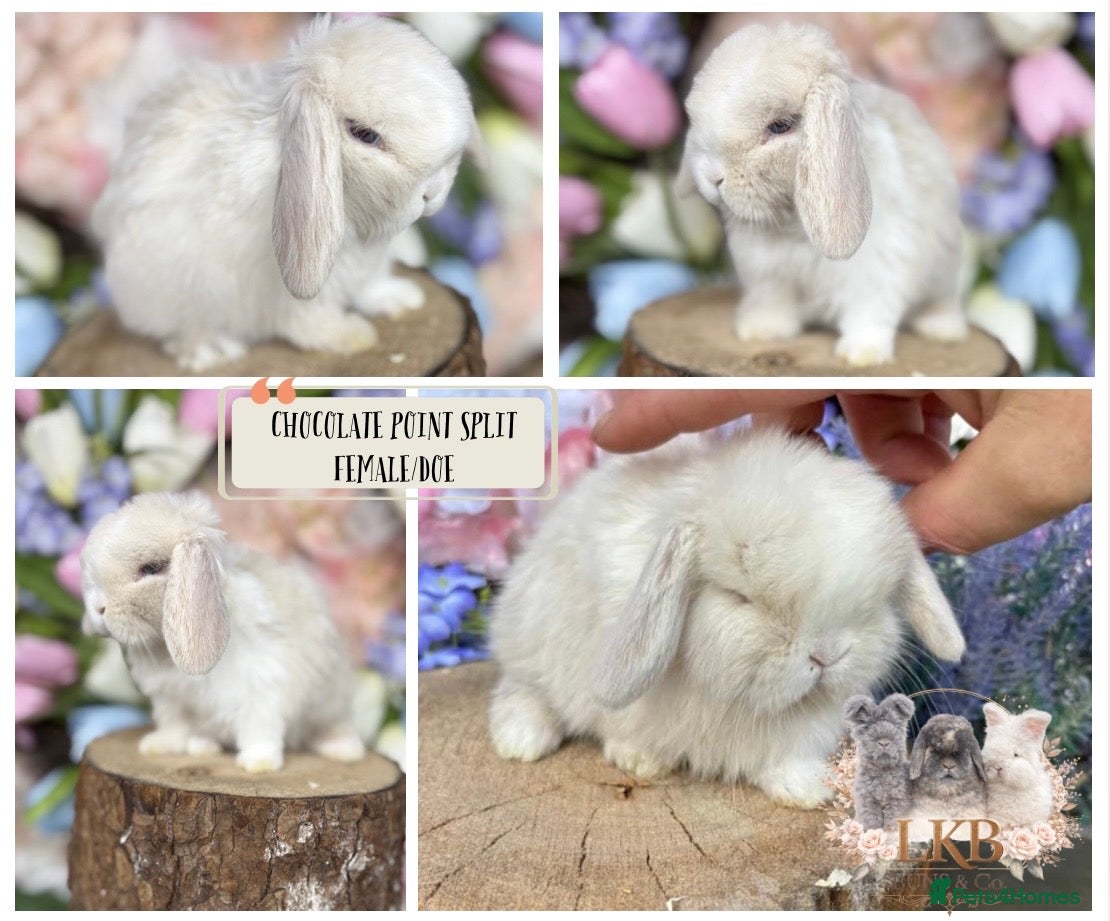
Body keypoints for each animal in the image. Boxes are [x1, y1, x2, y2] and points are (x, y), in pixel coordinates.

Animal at [79, 491, 365, 773]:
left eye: (150, 568)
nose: (98, 608)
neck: (164, 648)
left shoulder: (261, 687)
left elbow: (260, 727)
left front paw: (259, 763)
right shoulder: (172, 699)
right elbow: (174, 725)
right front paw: (159, 745)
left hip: (331, 702)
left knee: (336, 725)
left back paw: (345, 750)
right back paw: (202, 745)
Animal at [91, 15, 480, 371]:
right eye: (364, 135)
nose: (433, 194)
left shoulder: (367, 265)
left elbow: (370, 286)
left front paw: (400, 299)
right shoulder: (293, 291)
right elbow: (308, 320)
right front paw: (352, 336)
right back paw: (211, 351)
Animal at [488, 427, 965, 808]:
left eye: (876, 599)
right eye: (738, 596)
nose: (827, 655)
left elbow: (789, 759)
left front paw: (811, 791)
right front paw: (640, 760)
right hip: (531, 635)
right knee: (525, 689)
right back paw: (520, 740)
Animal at [677, 22, 967, 366]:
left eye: (780, 126)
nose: (712, 177)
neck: (793, 225)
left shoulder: (875, 271)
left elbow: (869, 313)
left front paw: (862, 355)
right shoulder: (769, 275)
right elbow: (772, 303)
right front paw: (759, 330)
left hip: (944, 268)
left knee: (943, 300)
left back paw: (944, 330)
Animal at [844, 693, 915, 830]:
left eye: (894, 725)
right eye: (867, 727)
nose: (884, 742)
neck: (882, 771)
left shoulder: (898, 800)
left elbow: (893, 819)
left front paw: (890, 831)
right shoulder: (868, 801)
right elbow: (872, 820)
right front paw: (873, 831)